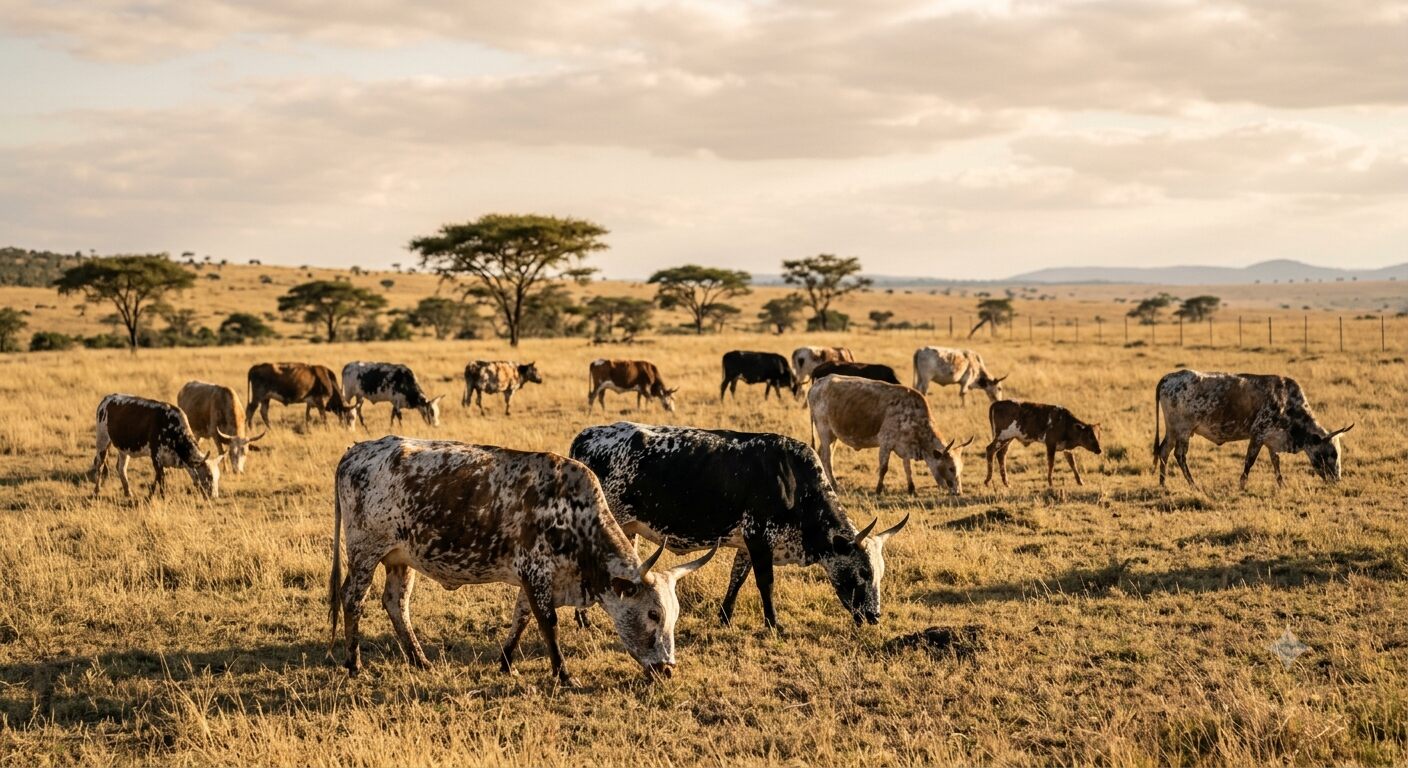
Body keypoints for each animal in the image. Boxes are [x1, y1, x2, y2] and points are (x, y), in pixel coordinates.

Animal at [91, 394, 223, 499]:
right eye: (209, 476)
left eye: (218, 477)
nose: (214, 496)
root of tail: (107, 398)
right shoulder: (156, 456)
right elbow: (162, 480)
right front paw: (163, 497)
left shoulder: (164, 461)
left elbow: (157, 477)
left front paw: (150, 495)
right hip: (102, 440)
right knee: (99, 465)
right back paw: (96, 492)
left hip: (123, 448)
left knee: (121, 467)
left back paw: (128, 492)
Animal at [329, 436, 717, 685]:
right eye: (653, 614)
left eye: (674, 615)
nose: (667, 669)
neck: (576, 519)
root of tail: (356, 451)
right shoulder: (537, 574)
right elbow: (548, 624)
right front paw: (564, 675)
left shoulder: (533, 579)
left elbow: (521, 618)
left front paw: (506, 663)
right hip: (365, 551)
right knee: (353, 599)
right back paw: (353, 663)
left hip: (400, 557)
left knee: (396, 603)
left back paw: (419, 659)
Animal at [571, 422, 909, 630]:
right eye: (863, 572)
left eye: (879, 574)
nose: (875, 616)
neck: (794, 484)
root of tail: (585, 436)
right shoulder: (760, 539)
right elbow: (765, 583)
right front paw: (774, 623)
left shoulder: (748, 544)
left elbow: (738, 578)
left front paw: (725, 616)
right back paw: (583, 620)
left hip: (626, 529)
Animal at [809, 375, 973, 496]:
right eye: (951, 468)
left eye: (961, 468)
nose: (959, 492)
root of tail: (818, 383)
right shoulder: (885, 442)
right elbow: (883, 468)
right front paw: (878, 489)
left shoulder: (905, 447)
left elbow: (908, 469)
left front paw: (911, 489)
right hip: (824, 430)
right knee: (827, 457)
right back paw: (834, 485)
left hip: (833, 435)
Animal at [1154, 369, 1353, 489]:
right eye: (1333, 453)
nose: (1338, 479)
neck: (1287, 404)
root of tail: (1169, 377)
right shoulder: (1258, 435)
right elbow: (1249, 461)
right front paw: (1242, 485)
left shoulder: (1272, 440)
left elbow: (1276, 462)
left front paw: (1282, 484)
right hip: (1183, 430)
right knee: (1179, 455)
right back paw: (1193, 484)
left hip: (1172, 430)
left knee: (1164, 451)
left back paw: (1163, 484)